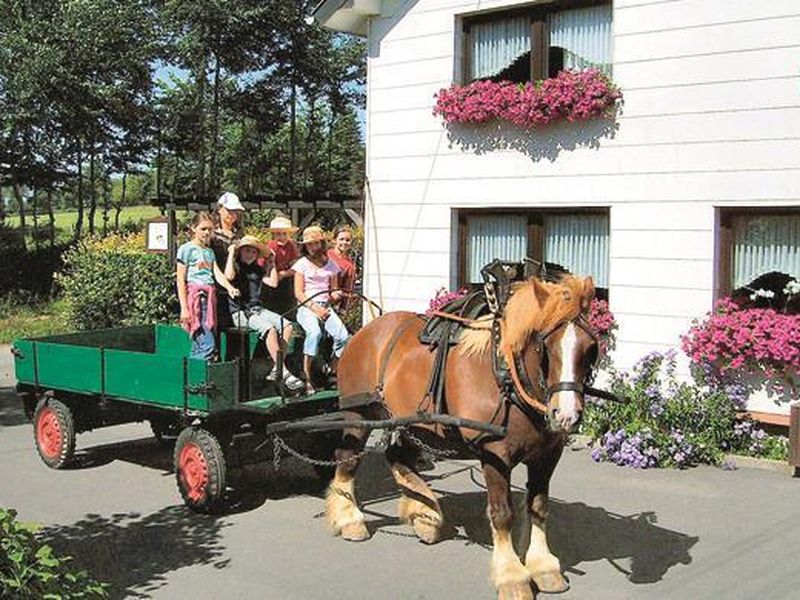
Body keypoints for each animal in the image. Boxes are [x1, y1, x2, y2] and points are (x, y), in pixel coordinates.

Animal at [324, 274, 600, 596]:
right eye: (546, 346)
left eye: (590, 347)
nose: (566, 414)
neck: (507, 378)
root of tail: (367, 330)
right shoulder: (494, 454)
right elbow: (502, 513)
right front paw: (512, 576)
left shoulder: (548, 454)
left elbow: (539, 507)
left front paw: (544, 567)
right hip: (359, 413)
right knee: (348, 459)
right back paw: (350, 519)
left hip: (417, 423)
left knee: (397, 457)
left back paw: (426, 514)